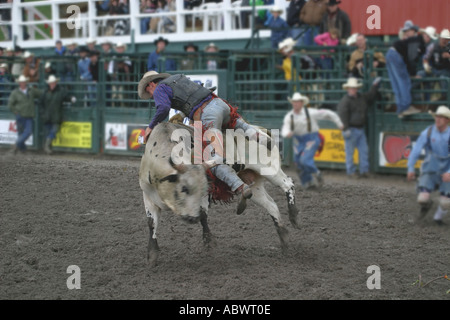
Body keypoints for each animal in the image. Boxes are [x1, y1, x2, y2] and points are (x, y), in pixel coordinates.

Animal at [137, 119, 298, 266]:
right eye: (184, 188)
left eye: (203, 188)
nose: (192, 218)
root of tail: (261, 129)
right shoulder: (148, 197)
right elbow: (151, 223)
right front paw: (152, 255)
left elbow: (203, 214)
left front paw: (209, 242)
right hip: (254, 185)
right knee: (271, 205)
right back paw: (284, 239)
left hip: (270, 170)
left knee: (288, 184)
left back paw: (294, 216)